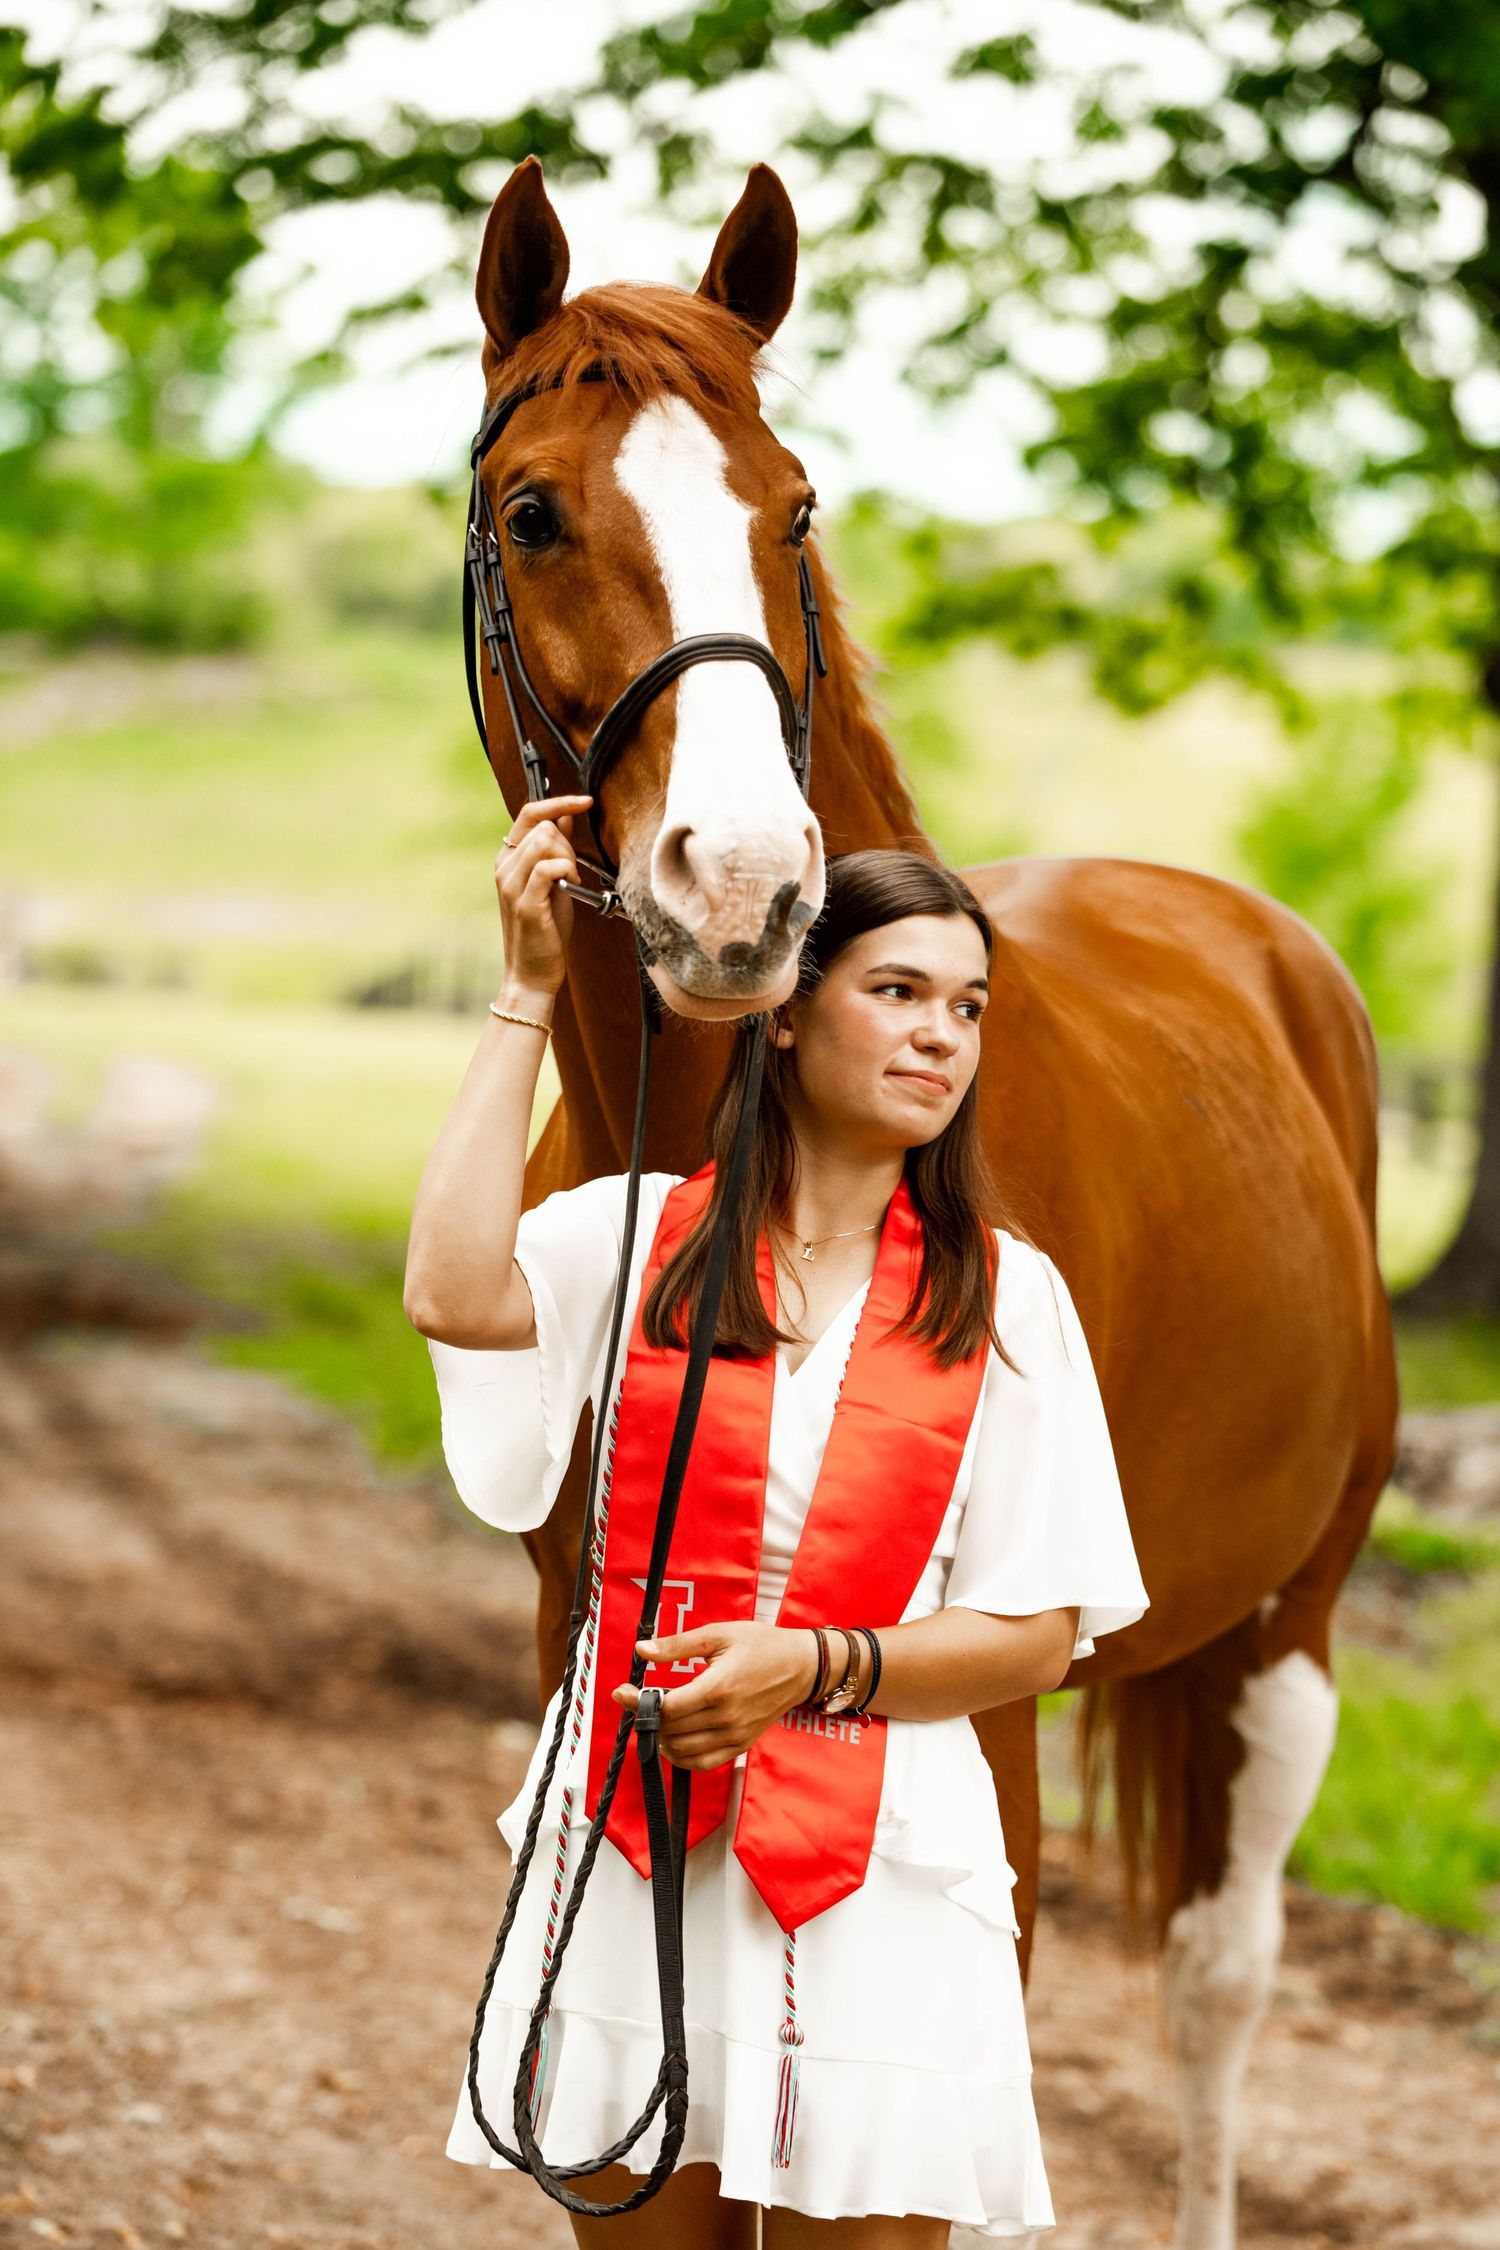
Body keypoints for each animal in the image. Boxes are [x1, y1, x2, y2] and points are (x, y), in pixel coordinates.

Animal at [462, 153, 1400, 2250]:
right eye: (535, 510)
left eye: (794, 504)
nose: (740, 889)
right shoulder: (601, 1718)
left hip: (1284, 1631)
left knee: (1216, 1981)